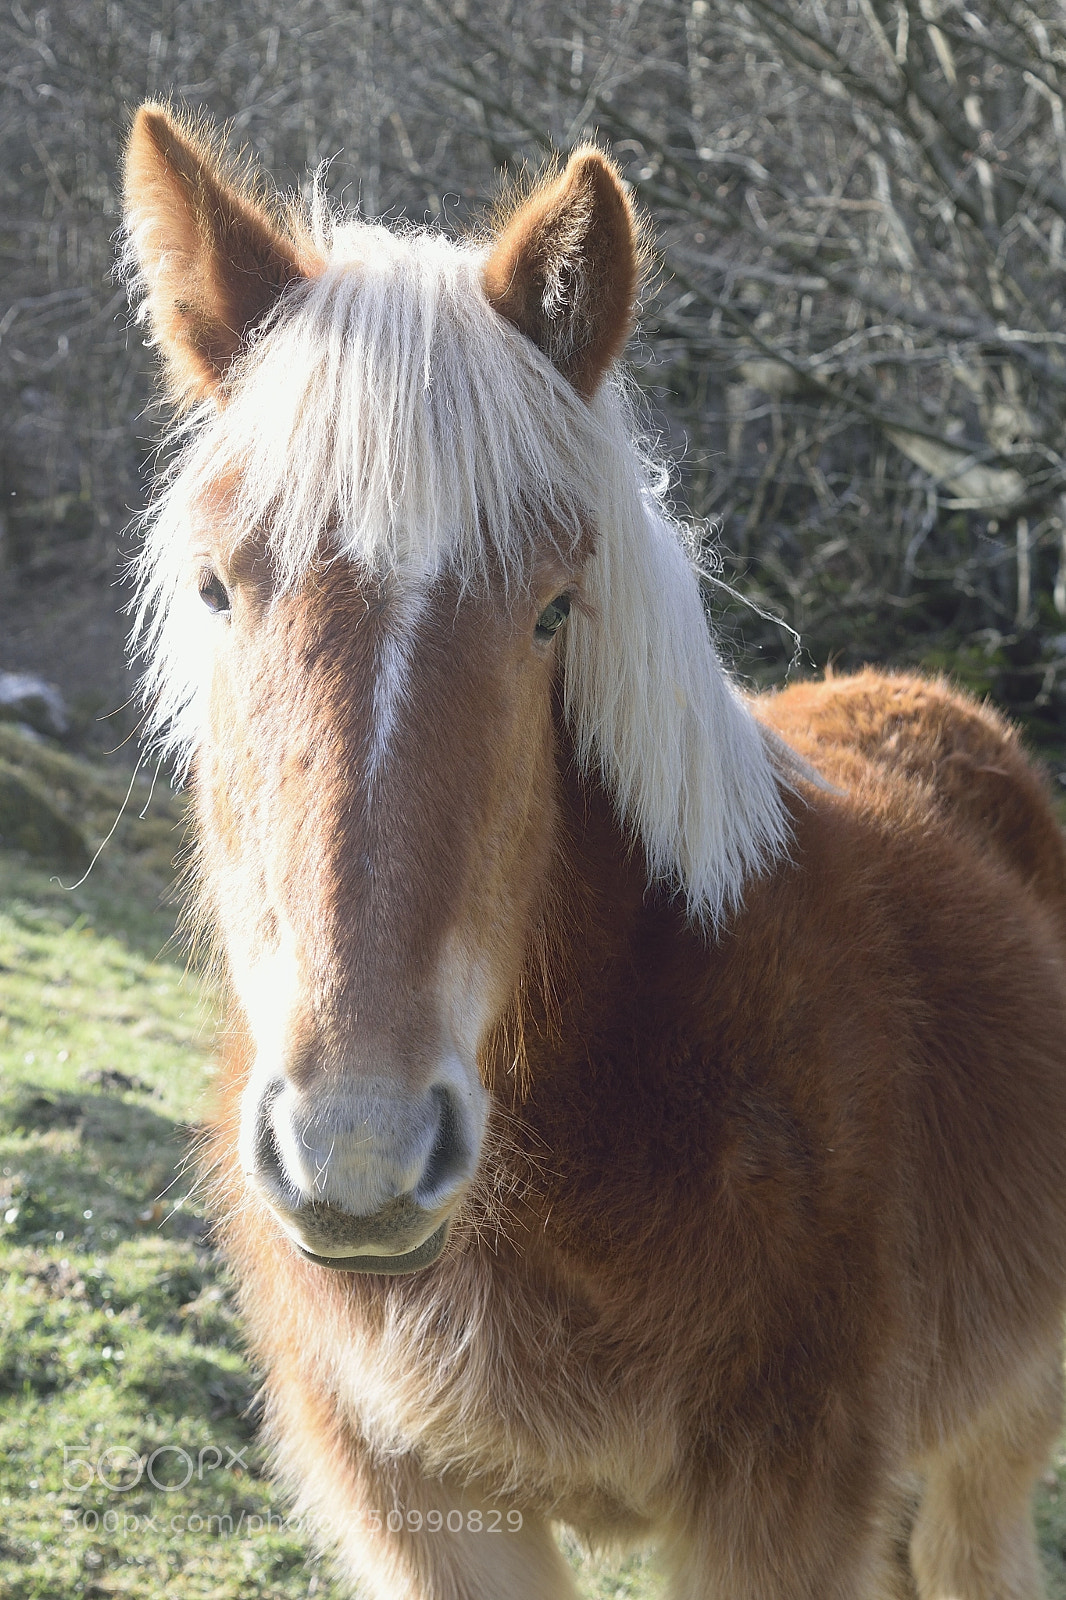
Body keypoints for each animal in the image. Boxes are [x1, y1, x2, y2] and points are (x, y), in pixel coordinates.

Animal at [122, 101, 1066, 1599]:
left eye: (551, 610)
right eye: (219, 588)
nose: (358, 1152)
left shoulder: (782, 1513)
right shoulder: (425, 1512)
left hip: (991, 1448)